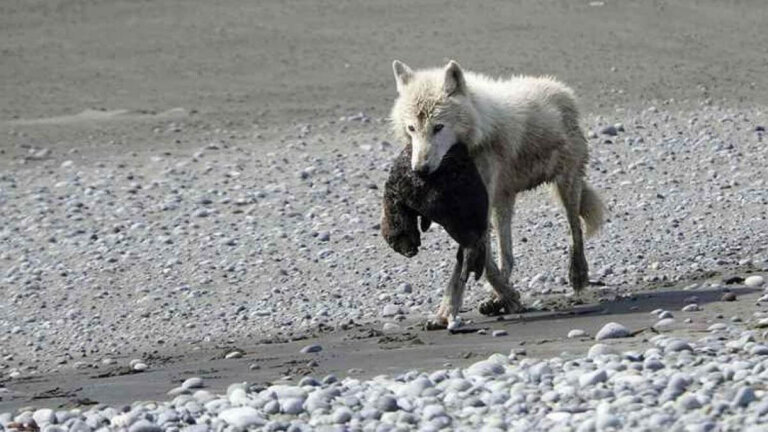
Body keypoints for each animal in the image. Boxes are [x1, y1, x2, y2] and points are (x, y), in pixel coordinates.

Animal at [389, 60, 604, 325]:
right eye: (412, 128)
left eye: (438, 127)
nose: (420, 169)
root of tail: (561, 89)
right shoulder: (469, 213)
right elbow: (482, 261)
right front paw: (503, 298)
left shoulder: (474, 211)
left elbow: (468, 263)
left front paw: (452, 310)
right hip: (504, 202)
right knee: (508, 257)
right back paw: (497, 299)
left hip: (566, 186)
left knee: (575, 231)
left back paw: (578, 275)